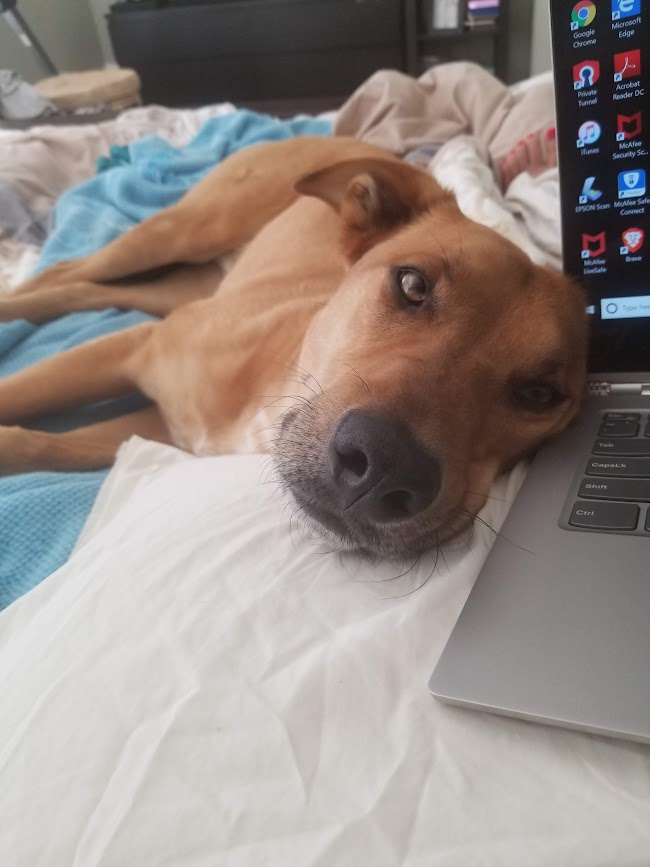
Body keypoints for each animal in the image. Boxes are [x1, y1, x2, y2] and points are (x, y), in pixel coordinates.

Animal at [0, 136, 588, 556]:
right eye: (413, 285)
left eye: (538, 395)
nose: (386, 467)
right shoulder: (135, 350)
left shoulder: (156, 429)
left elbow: (47, 444)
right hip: (182, 231)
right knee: (67, 270)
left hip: (184, 284)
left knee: (80, 287)